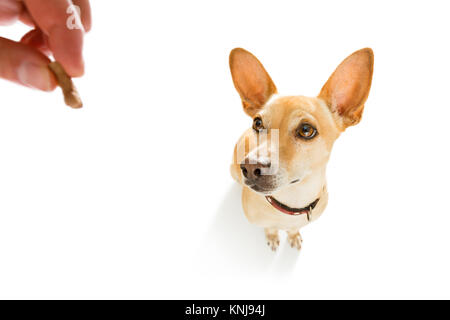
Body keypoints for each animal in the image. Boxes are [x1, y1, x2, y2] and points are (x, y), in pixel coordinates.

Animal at [230, 48, 374, 251]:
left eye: (306, 130)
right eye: (257, 123)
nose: (250, 167)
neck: (291, 202)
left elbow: (293, 229)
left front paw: (293, 235)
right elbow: (269, 227)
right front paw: (272, 235)